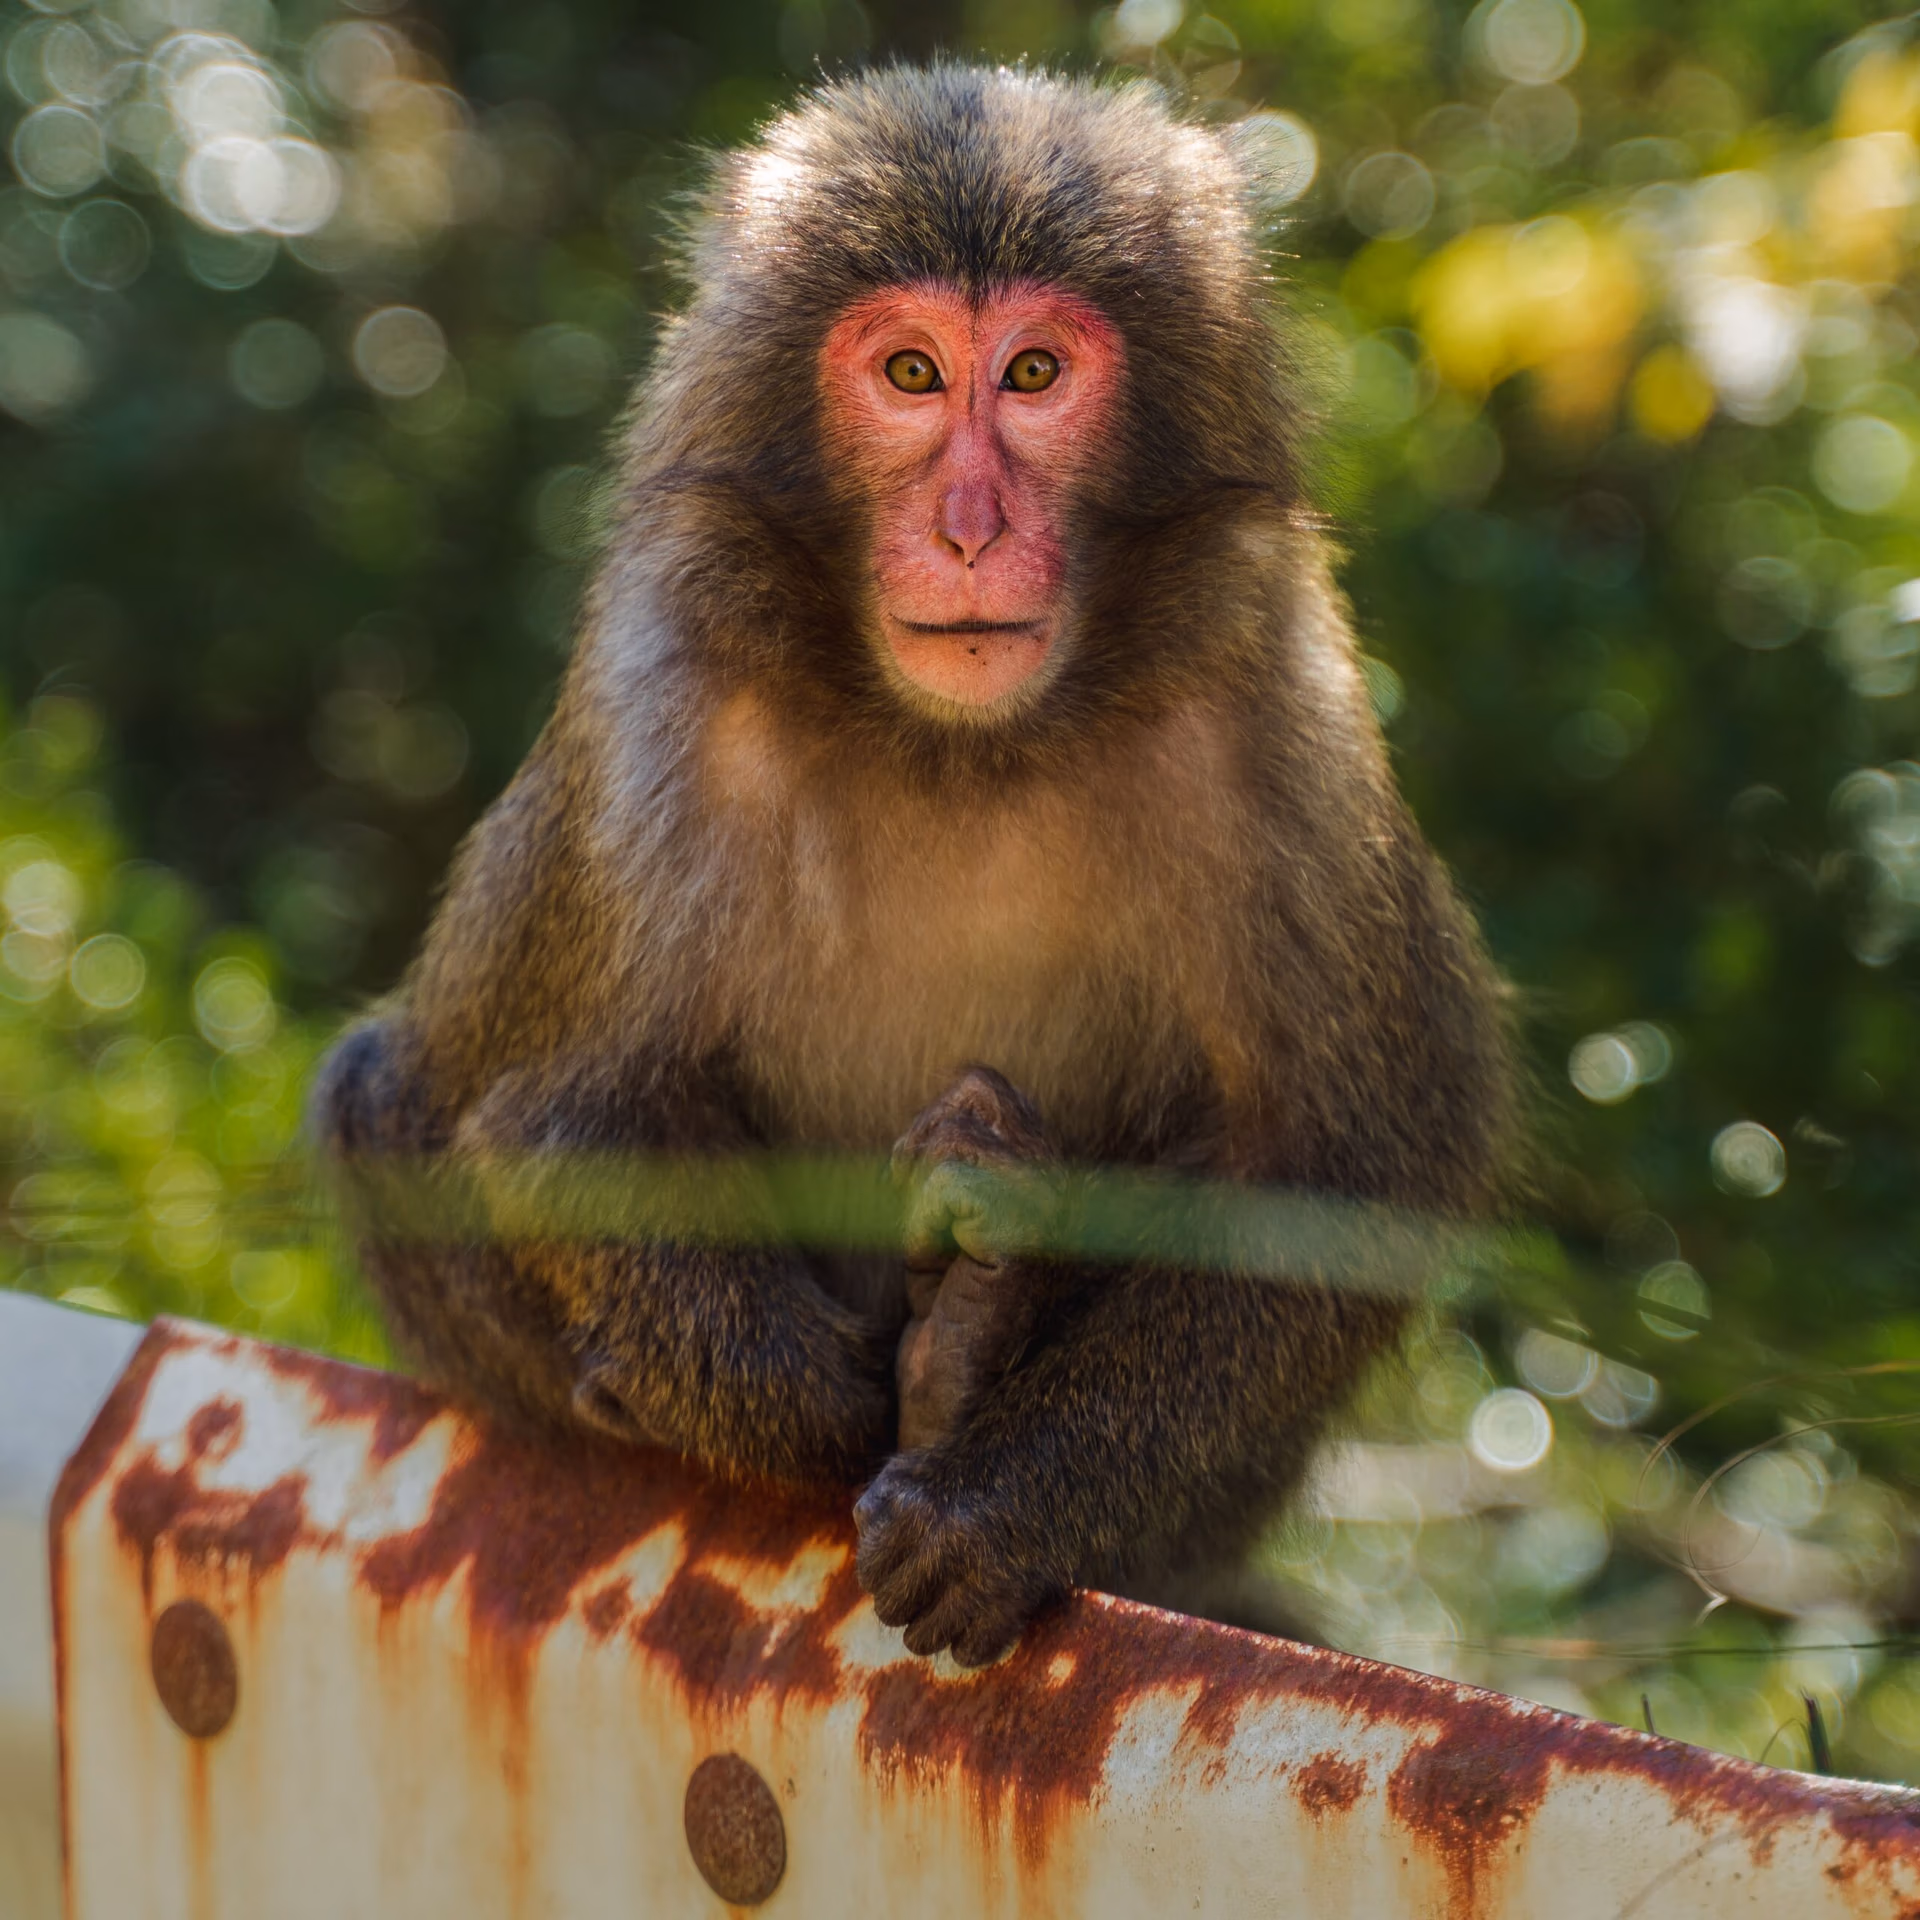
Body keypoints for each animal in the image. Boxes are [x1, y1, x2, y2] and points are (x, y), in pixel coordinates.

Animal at [314, 64, 1516, 1669]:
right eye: (907, 375)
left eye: (1032, 374)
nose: (967, 528)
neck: (966, 747)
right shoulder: (670, 688)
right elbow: (565, 1115)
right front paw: (824, 1413)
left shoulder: (1272, 700)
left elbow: (1341, 1174)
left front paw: (997, 1496)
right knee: (377, 1090)